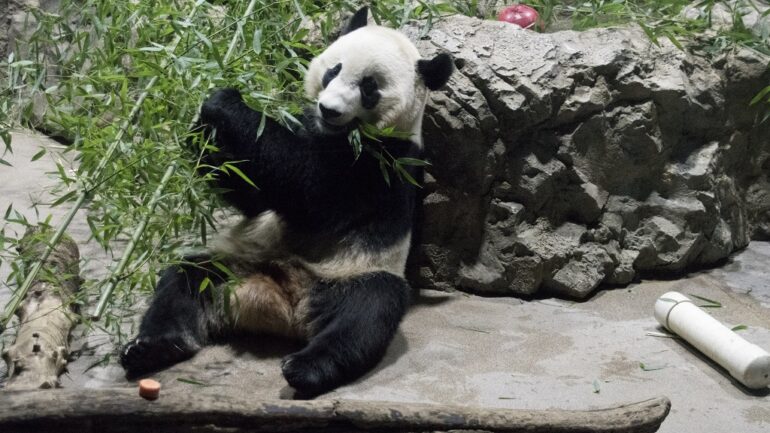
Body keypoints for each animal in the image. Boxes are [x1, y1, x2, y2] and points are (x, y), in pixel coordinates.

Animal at [119, 6, 453, 397]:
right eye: (334, 70)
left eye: (368, 87)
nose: (329, 109)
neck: (334, 133)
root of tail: (281, 308)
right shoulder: (306, 125)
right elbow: (256, 198)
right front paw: (200, 127)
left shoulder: (382, 164)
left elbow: (307, 190)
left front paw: (225, 102)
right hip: (237, 263)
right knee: (184, 282)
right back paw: (150, 348)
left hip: (350, 273)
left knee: (366, 311)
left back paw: (305, 369)